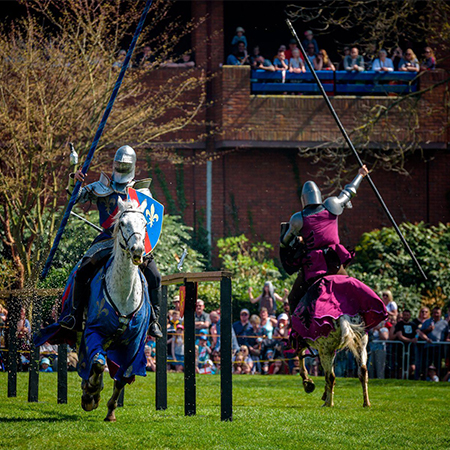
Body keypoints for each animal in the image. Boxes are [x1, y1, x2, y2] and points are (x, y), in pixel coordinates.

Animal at [80, 198, 150, 422]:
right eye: (122, 224)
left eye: (144, 224)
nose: (137, 250)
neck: (124, 293)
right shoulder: (93, 331)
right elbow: (97, 363)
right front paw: (90, 394)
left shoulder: (134, 344)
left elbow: (122, 377)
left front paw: (110, 410)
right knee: (94, 361)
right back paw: (89, 390)